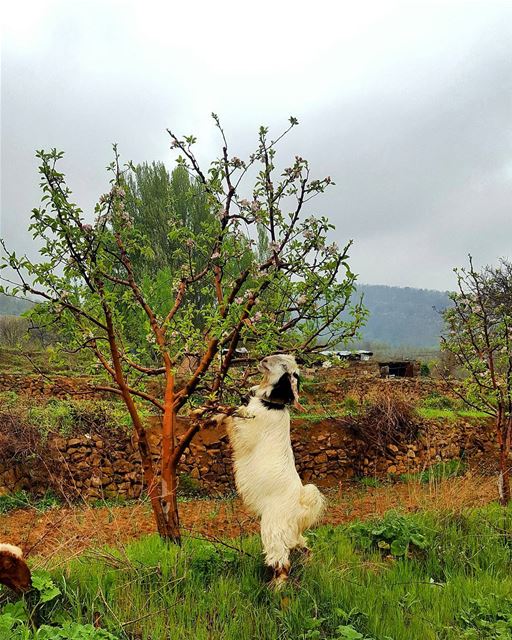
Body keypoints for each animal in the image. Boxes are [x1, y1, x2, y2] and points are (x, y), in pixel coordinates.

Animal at [223, 352, 324, 588]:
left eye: (284, 365)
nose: (262, 360)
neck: (271, 405)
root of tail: (300, 509)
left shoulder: (246, 430)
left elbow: (233, 416)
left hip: (272, 531)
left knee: (282, 562)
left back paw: (276, 588)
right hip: (292, 535)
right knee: (304, 547)